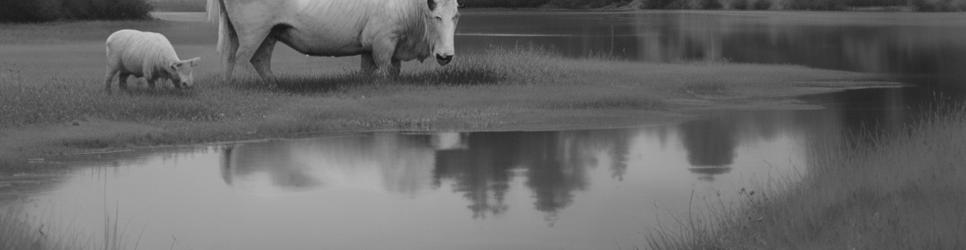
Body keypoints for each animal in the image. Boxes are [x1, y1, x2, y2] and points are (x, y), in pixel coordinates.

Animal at [207, 0, 462, 82]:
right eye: (436, 16)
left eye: (456, 16)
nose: (446, 56)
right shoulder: (384, 42)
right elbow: (384, 70)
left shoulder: (376, 47)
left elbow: (375, 69)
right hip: (254, 33)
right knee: (241, 59)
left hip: (269, 33)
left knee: (253, 59)